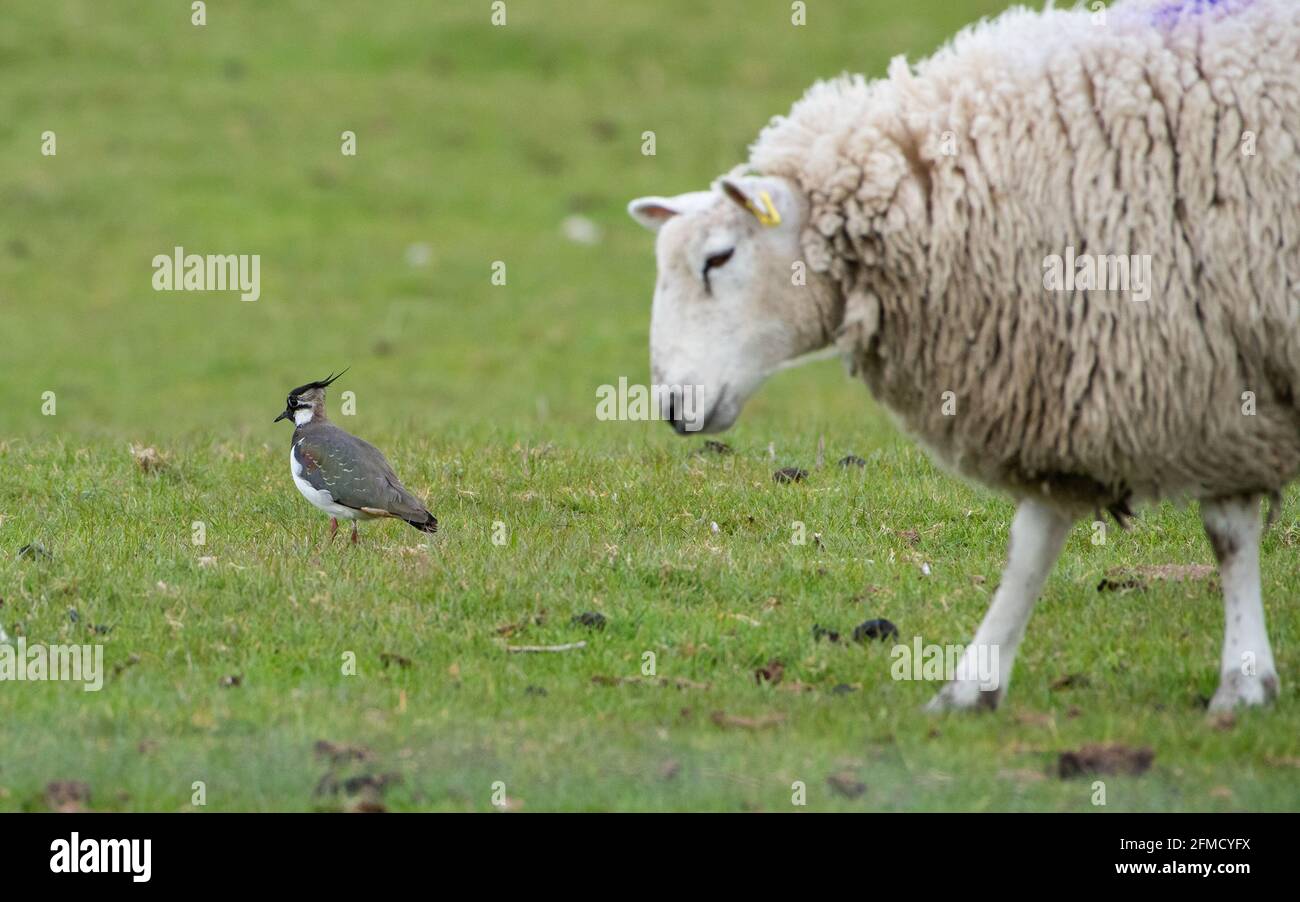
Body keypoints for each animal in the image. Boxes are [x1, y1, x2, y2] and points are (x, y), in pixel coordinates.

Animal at [624, 0, 1294, 712]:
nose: (672, 404)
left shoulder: (1204, 372)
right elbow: (1033, 544)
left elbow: (1225, 533)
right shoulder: (1078, 384)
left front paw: (1243, 683)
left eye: (718, 258)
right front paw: (973, 684)